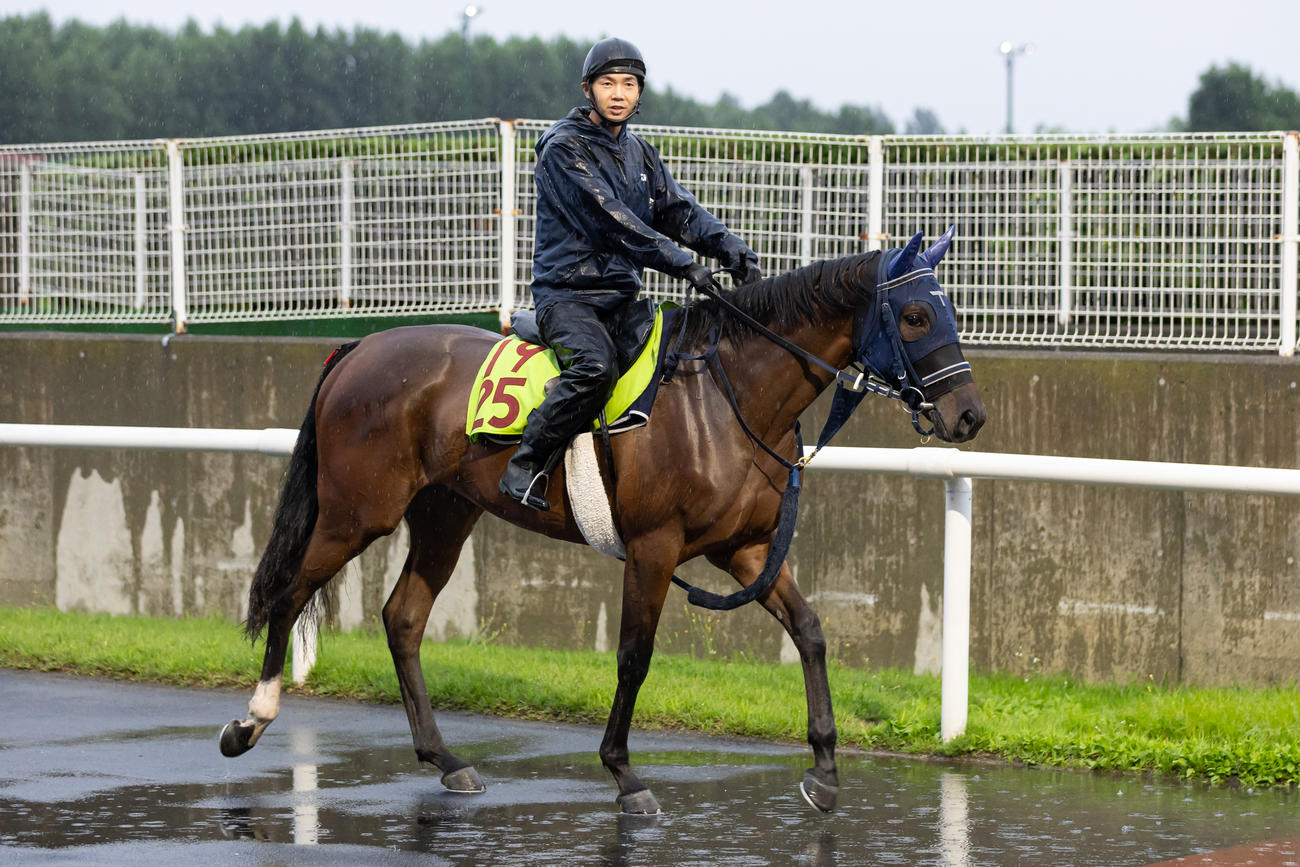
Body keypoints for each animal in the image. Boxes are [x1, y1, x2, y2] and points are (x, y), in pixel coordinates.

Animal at [218, 227, 987, 815]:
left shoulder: (747, 549)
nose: (969, 416)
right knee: (288, 591)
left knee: (402, 617)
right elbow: (633, 655)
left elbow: (811, 631)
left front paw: (824, 770)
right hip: (357, 513)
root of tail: (358, 348)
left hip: (445, 513)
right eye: (916, 317)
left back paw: (446, 758)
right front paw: (624, 772)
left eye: (951, 311)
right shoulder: (654, 548)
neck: (726, 396)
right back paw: (251, 720)